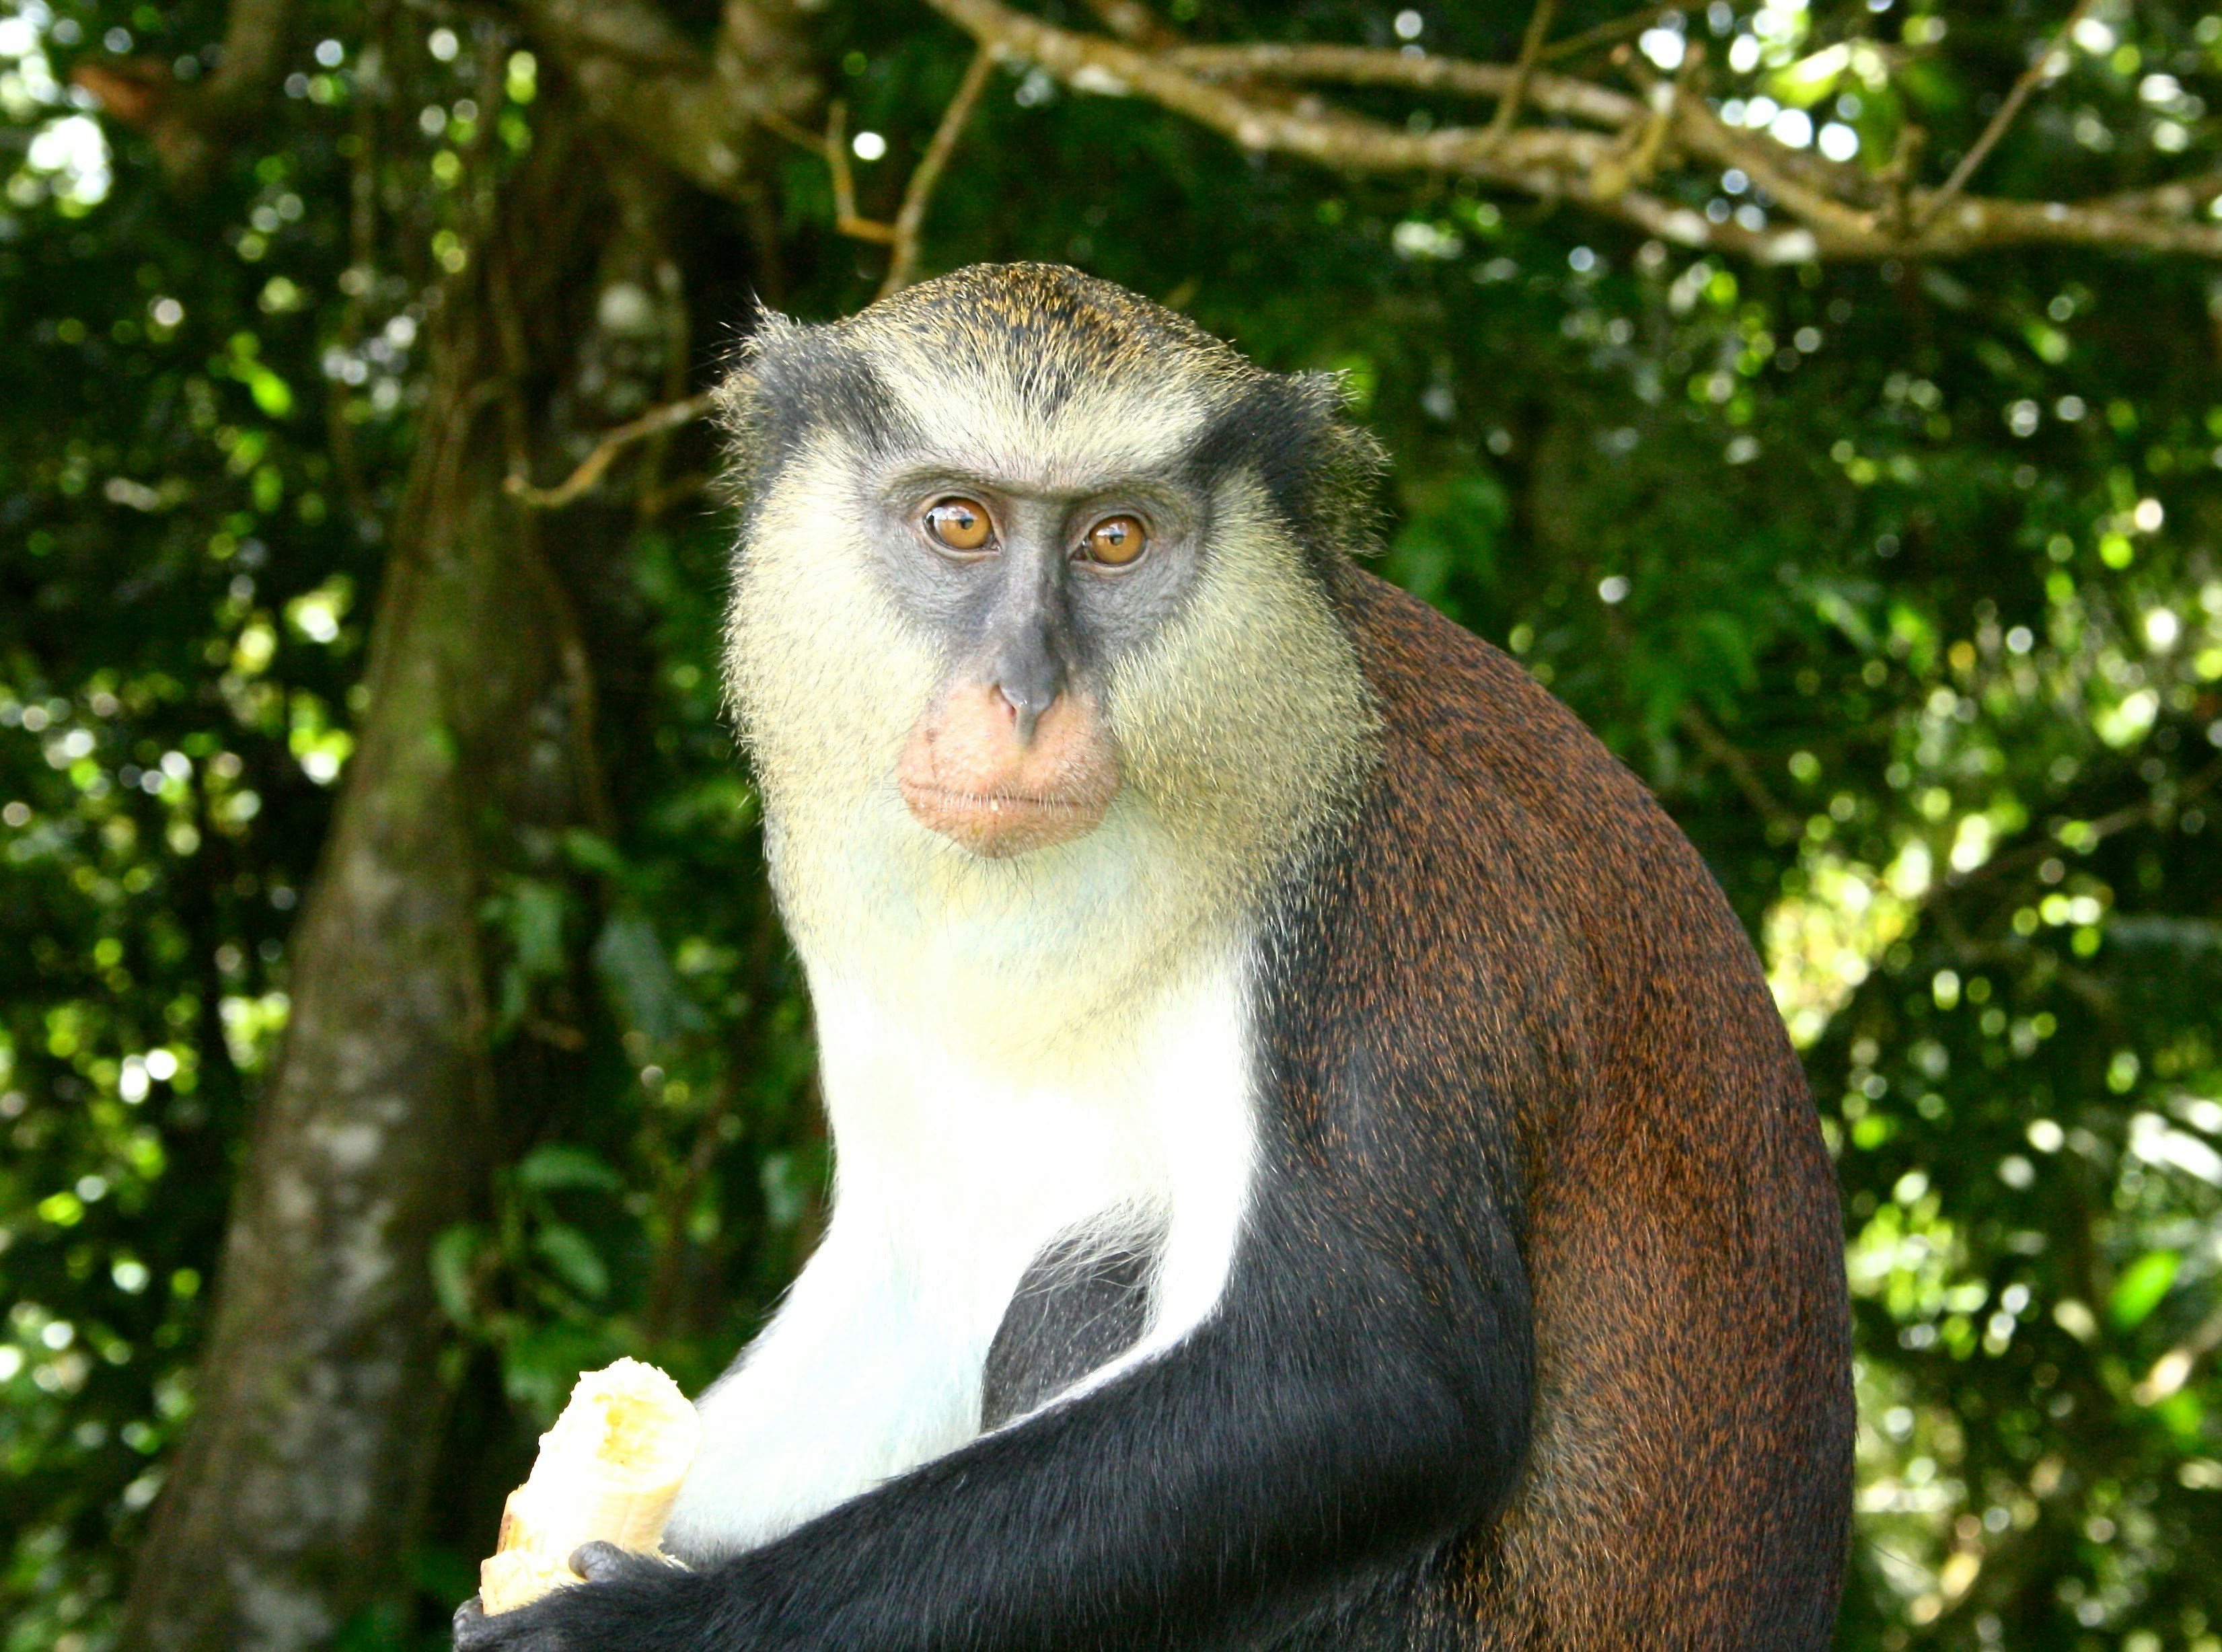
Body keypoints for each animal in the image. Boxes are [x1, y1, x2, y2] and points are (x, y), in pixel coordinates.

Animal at [454, 262, 1852, 1652]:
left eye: (1114, 540)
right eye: (958, 522)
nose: (1024, 697)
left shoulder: (1392, 898)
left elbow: (1369, 1375)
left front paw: (649, 1628)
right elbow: (916, 1281)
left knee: (1087, 1285)